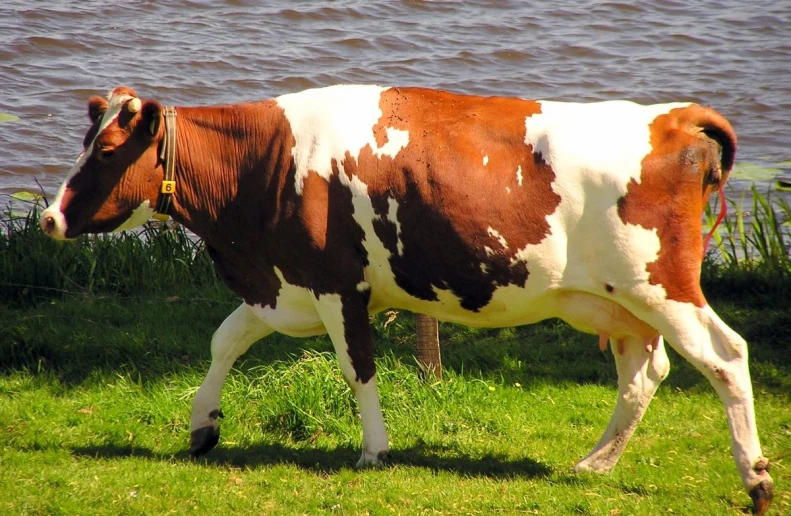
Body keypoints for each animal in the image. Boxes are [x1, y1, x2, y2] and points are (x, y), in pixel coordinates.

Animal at [41, 84, 772, 512]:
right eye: (86, 142)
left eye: (107, 150)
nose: (48, 218)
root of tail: (672, 117)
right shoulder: (285, 282)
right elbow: (226, 340)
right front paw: (202, 426)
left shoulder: (337, 283)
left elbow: (357, 368)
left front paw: (373, 450)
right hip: (616, 303)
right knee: (644, 374)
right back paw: (593, 463)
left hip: (662, 287)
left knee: (726, 357)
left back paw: (756, 480)